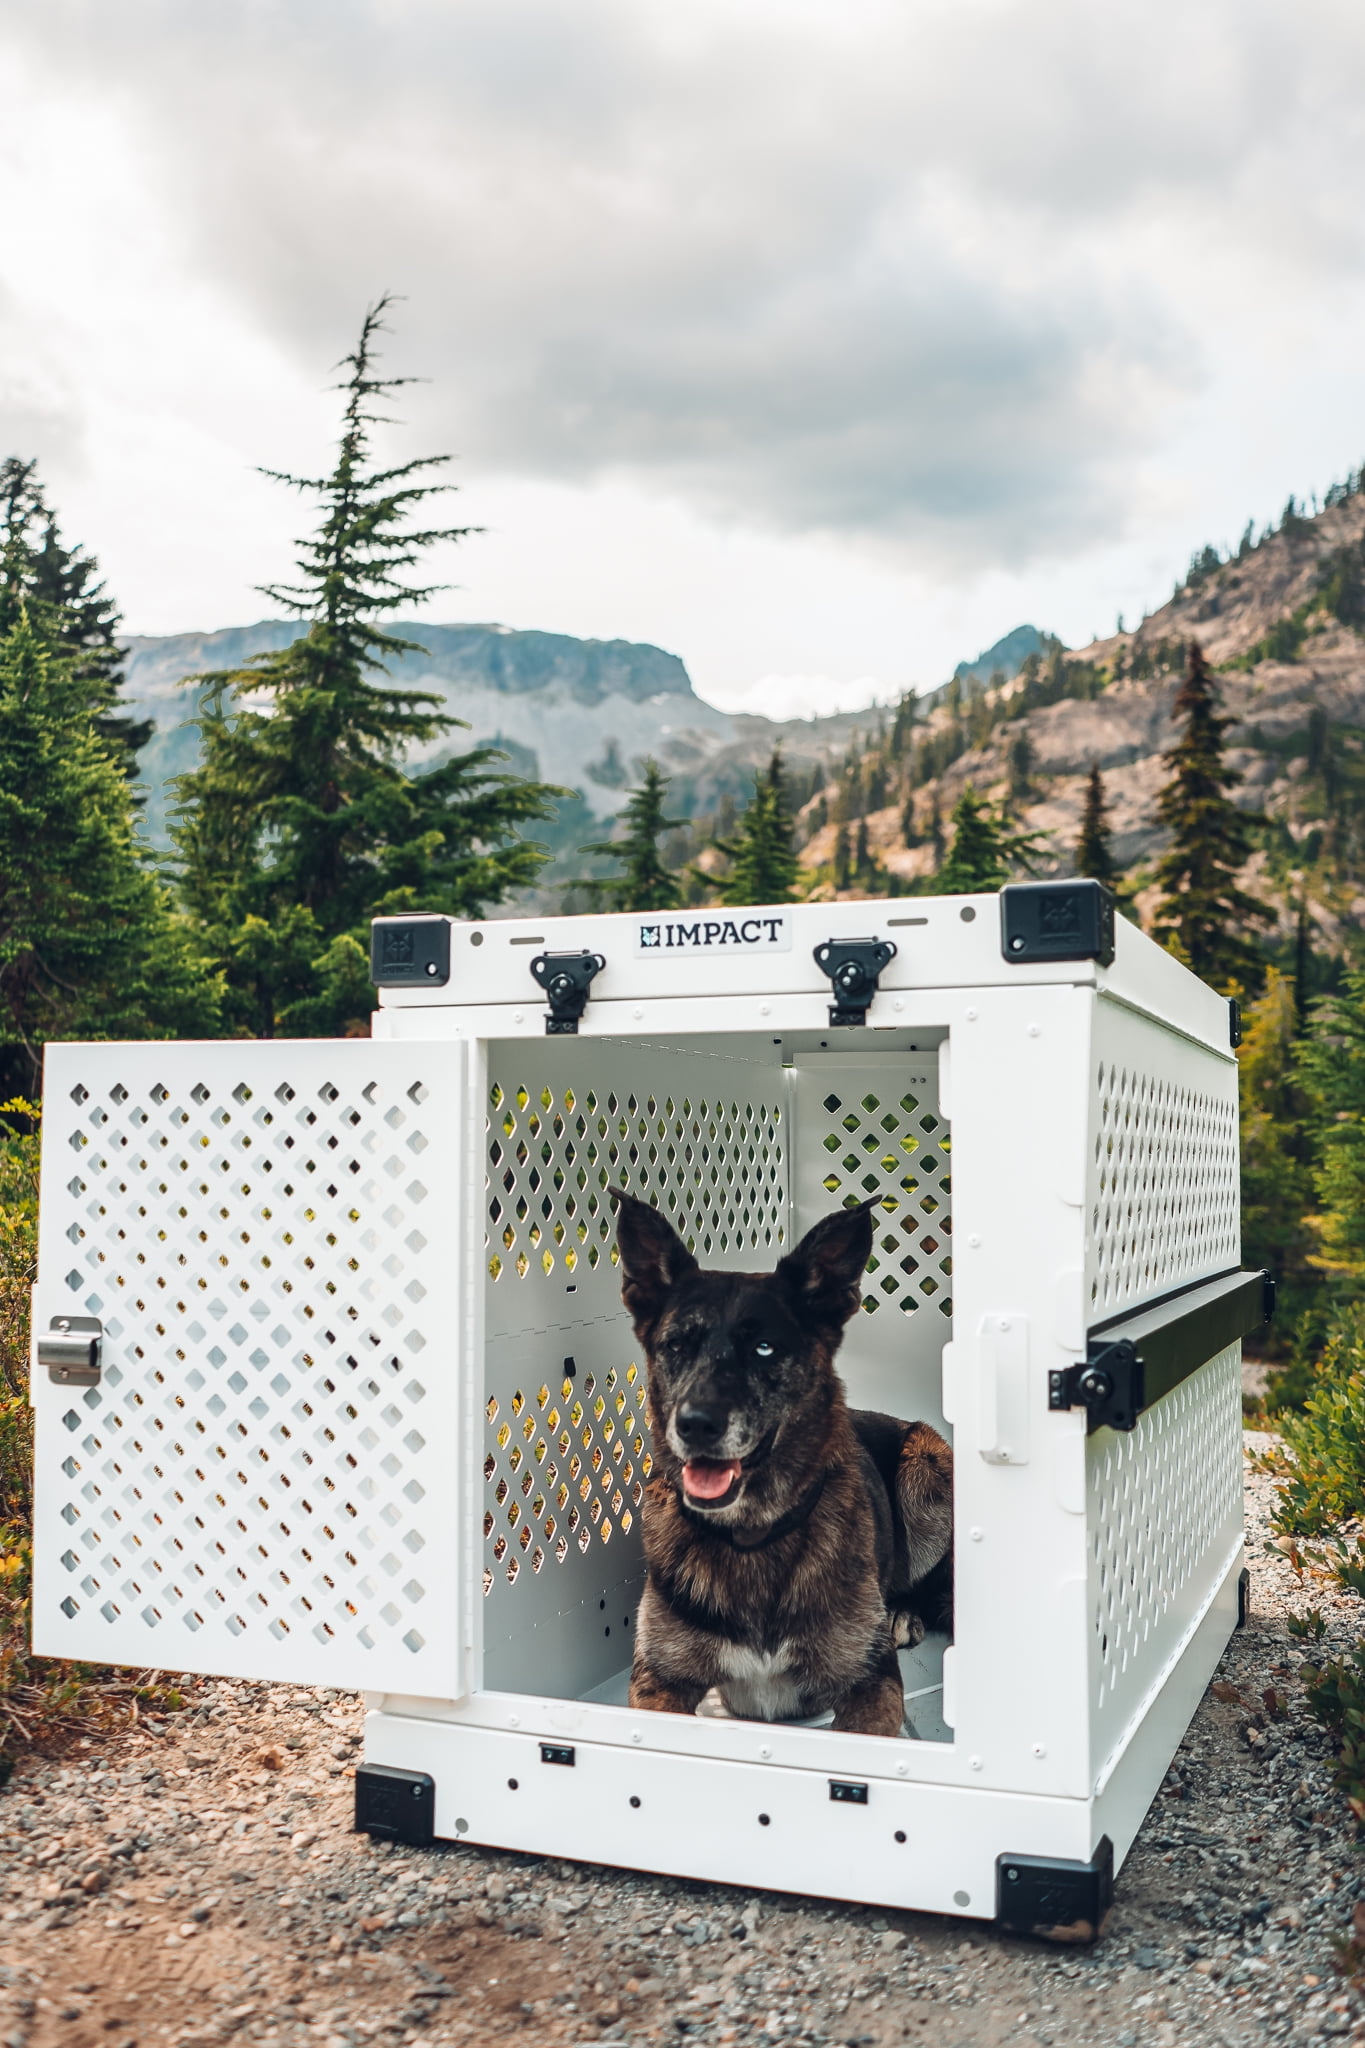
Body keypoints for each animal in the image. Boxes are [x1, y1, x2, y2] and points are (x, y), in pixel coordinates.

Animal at [613, 1196, 957, 1736]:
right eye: (676, 1346)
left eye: (764, 1348)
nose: (695, 1425)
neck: (753, 1536)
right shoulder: (659, 1679)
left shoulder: (871, 1683)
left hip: (925, 1463)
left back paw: (902, 1609)